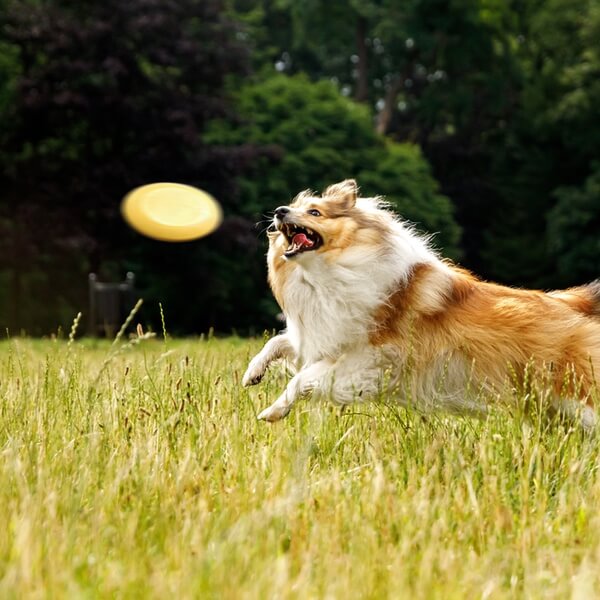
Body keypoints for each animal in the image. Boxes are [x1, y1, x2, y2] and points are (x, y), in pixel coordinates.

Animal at [244, 176, 600, 428]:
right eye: (293, 206)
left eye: (315, 212)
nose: (278, 212)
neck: (326, 271)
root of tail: (572, 301)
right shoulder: (328, 336)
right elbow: (279, 343)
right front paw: (253, 374)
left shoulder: (370, 358)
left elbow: (302, 379)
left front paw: (271, 412)